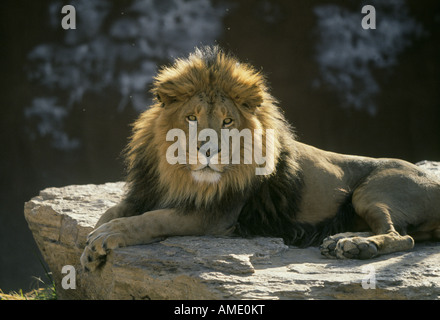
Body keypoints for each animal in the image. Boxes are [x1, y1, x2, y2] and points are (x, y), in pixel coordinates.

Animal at [80, 45, 440, 270]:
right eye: (192, 118)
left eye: (227, 121)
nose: (208, 150)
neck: (179, 174)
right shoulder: (144, 192)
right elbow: (112, 211)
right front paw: (89, 249)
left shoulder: (214, 216)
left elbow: (152, 219)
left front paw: (105, 237)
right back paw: (341, 240)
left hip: (373, 190)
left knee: (403, 237)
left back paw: (358, 247)